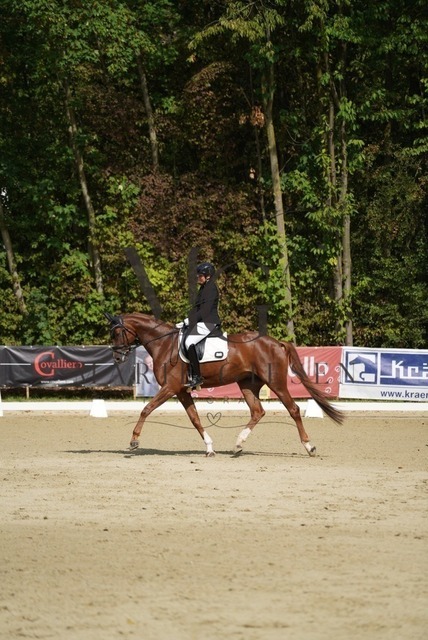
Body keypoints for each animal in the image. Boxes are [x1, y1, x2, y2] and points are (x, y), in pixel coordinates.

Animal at [105, 312, 344, 457]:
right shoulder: (181, 391)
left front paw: (134, 441)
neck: (164, 343)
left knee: (293, 409)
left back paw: (309, 446)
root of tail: (277, 342)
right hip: (247, 384)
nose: (116, 357)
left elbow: (146, 409)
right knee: (257, 411)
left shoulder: (170, 388)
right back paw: (238, 445)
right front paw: (209, 448)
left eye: (117, 332)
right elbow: (195, 419)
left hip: (275, 382)